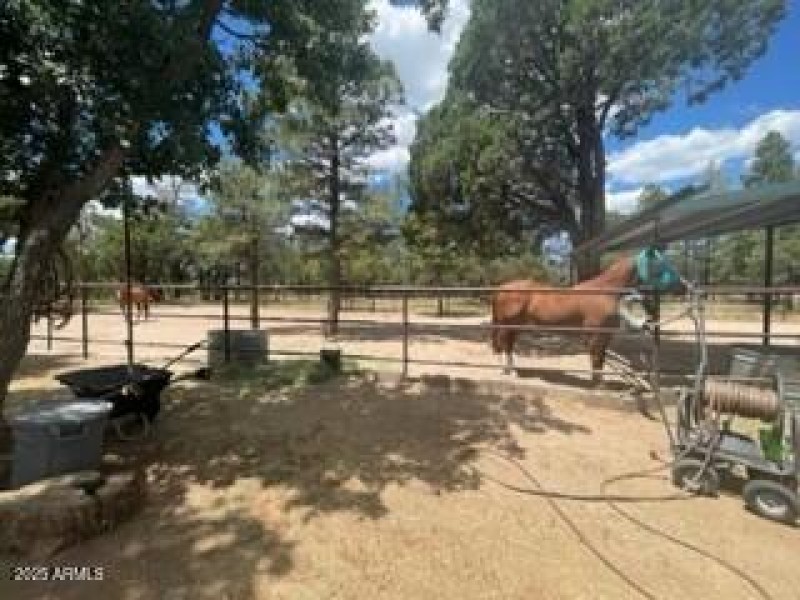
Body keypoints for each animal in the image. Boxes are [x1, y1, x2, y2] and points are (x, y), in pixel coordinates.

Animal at [490, 248, 682, 382]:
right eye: (660, 264)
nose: (682, 285)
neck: (605, 291)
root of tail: (502, 288)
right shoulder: (596, 335)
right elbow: (596, 358)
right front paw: (597, 385)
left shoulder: (606, 336)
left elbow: (601, 359)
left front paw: (601, 382)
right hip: (507, 325)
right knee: (503, 344)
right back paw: (507, 371)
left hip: (515, 326)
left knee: (508, 345)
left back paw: (511, 370)